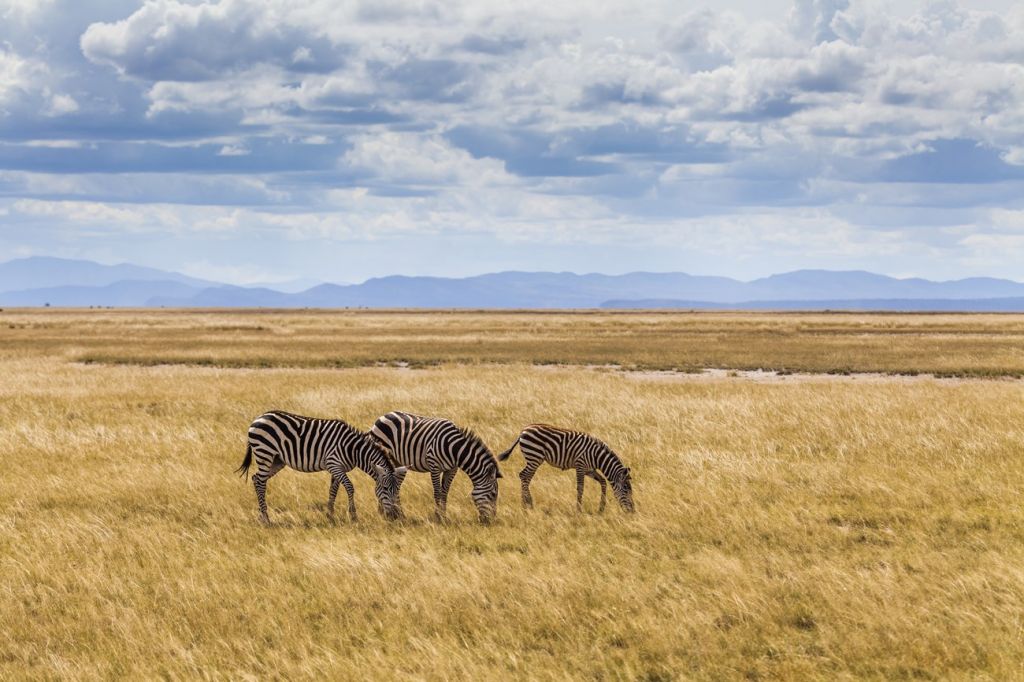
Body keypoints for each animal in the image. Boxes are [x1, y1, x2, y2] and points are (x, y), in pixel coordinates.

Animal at [235, 405, 407, 522]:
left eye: (396, 490)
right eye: (385, 488)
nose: (394, 516)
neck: (353, 449)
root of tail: (259, 417)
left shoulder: (337, 468)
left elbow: (333, 490)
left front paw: (329, 515)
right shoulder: (333, 464)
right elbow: (350, 487)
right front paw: (353, 515)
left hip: (277, 460)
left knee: (257, 479)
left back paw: (261, 515)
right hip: (265, 453)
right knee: (260, 481)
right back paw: (266, 518)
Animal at [370, 409, 501, 520]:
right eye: (493, 494)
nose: (490, 520)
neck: (454, 449)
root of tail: (384, 415)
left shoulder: (452, 469)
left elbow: (445, 492)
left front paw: (444, 516)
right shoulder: (434, 467)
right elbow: (437, 492)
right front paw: (438, 517)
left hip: (399, 462)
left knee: (396, 484)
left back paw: (398, 514)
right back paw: (385, 512)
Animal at [495, 421, 630, 512]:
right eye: (626, 490)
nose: (632, 511)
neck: (596, 456)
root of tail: (523, 431)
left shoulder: (589, 470)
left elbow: (603, 482)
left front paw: (601, 508)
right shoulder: (580, 466)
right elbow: (580, 488)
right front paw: (578, 509)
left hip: (534, 458)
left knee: (525, 477)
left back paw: (526, 504)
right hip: (534, 457)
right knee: (524, 476)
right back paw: (528, 505)